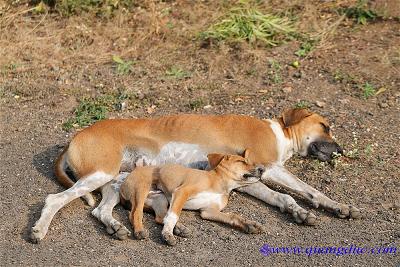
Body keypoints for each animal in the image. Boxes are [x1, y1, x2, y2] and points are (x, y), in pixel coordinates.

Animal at [120, 150, 268, 246]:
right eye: (241, 161)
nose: (262, 170)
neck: (221, 184)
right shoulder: (182, 192)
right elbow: (173, 215)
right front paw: (167, 234)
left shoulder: (208, 211)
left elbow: (233, 216)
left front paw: (249, 224)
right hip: (141, 189)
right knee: (135, 213)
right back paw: (140, 231)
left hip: (159, 199)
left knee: (160, 217)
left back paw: (179, 228)